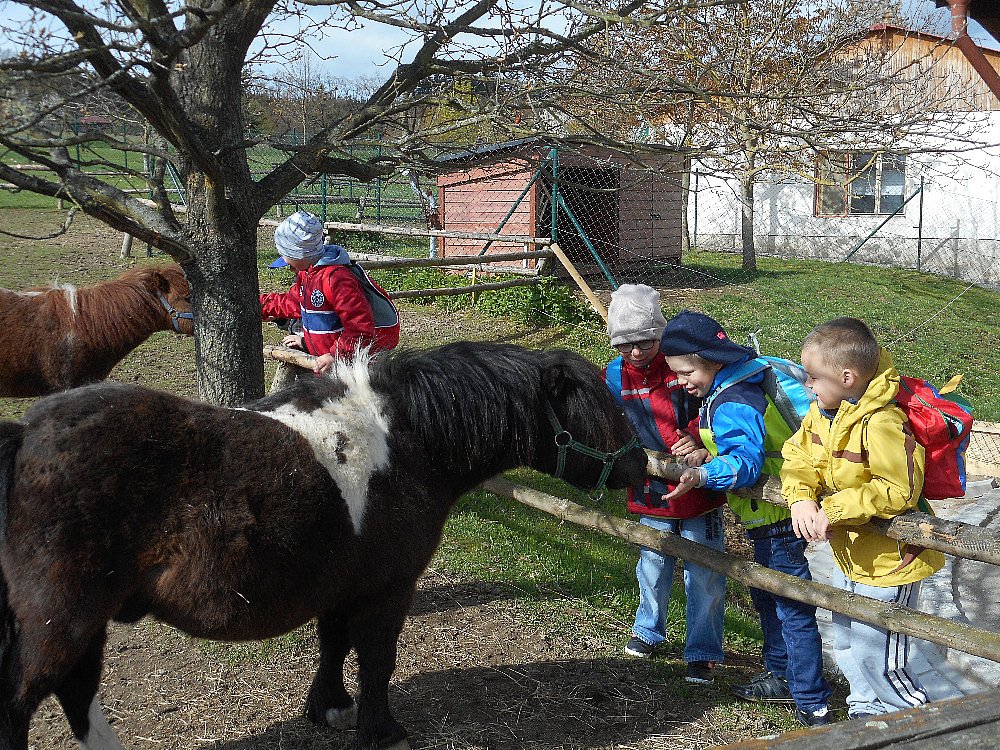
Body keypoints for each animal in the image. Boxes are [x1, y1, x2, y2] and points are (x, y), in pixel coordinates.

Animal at [0, 341, 646, 750]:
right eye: (599, 408)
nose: (642, 467)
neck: (407, 440)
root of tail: (26, 435)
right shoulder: (388, 589)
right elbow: (377, 660)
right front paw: (381, 730)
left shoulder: (344, 582)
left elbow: (334, 646)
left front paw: (329, 707)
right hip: (63, 622)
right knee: (29, 699)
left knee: (77, 696)